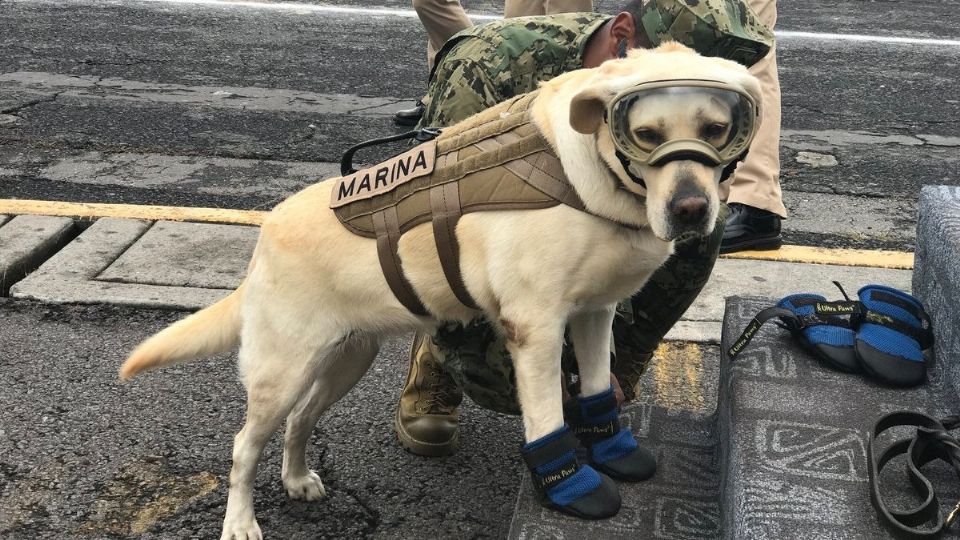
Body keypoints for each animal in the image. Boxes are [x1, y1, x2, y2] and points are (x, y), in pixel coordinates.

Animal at [124, 44, 760, 536]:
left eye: (717, 130)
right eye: (646, 134)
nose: (691, 210)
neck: (593, 175)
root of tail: (264, 238)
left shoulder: (595, 313)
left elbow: (600, 390)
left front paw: (613, 451)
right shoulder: (535, 329)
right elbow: (548, 418)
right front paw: (570, 487)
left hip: (345, 359)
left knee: (301, 420)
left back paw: (299, 479)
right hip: (282, 371)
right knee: (242, 447)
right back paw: (240, 522)